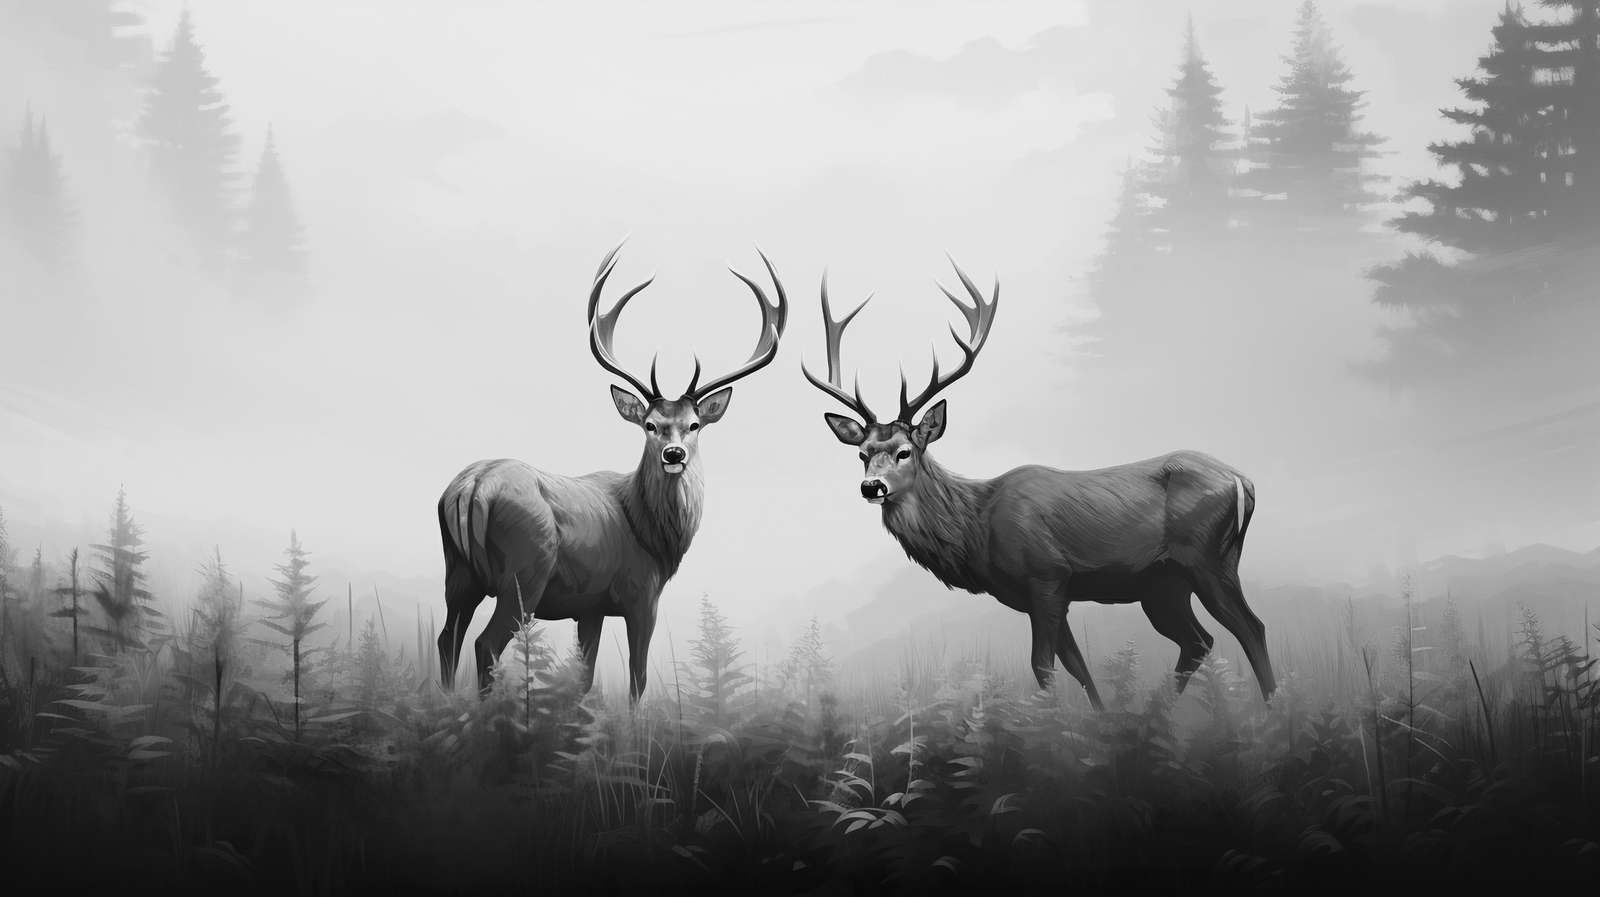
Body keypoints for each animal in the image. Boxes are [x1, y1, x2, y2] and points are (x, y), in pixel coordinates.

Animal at [436, 242, 789, 702]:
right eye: (650, 425)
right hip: (524, 572)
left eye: (694, 424)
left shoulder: (590, 606)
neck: (655, 535)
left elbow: (584, 678)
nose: (674, 454)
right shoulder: (641, 595)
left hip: (458, 572)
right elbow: (637, 679)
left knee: (447, 637)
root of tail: (471, 488)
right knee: (485, 644)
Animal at [801, 260, 1275, 711]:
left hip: (1209, 557)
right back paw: (1151, 713)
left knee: (1251, 627)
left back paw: (1272, 708)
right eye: (862, 453)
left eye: (904, 451)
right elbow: (1078, 666)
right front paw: (1101, 721)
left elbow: (1043, 666)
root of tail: (1244, 482)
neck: (978, 528)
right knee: (1198, 641)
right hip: (1163, 583)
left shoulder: (1046, 576)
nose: (872, 487)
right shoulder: (1041, 594)